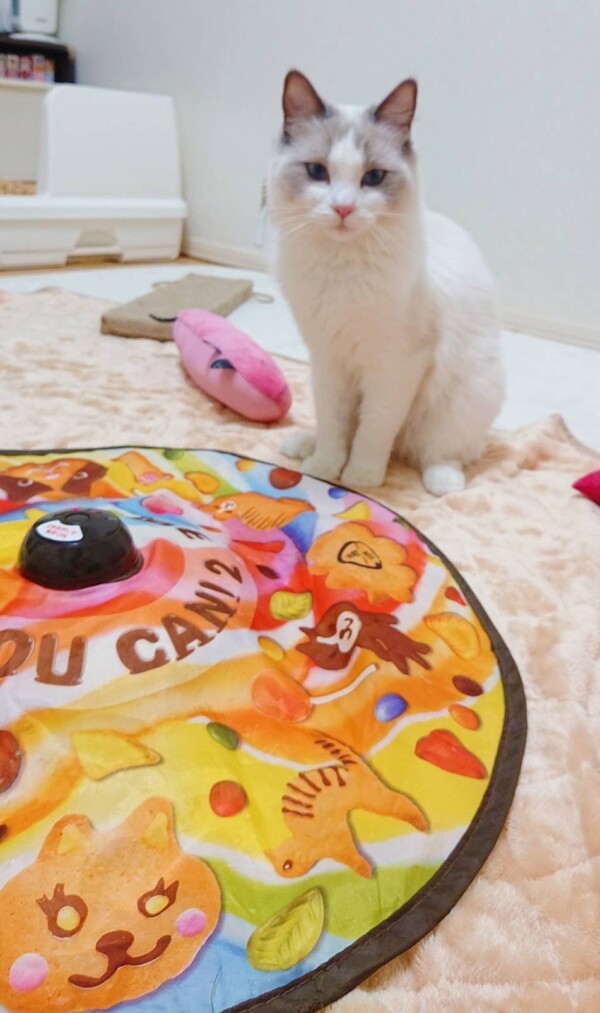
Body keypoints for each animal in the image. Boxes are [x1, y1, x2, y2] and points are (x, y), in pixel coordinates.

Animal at [268, 70, 504, 495]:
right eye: (317, 172)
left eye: (373, 178)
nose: (343, 208)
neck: (340, 272)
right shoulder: (328, 358)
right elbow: (334, 426)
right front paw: (323, 469)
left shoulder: (395, 364)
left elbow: (374, 430)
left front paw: (360, 478)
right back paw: (303, 446)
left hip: (464, 398)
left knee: (437, 451)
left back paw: (443, 482)